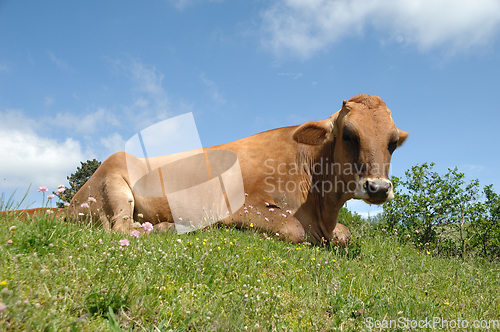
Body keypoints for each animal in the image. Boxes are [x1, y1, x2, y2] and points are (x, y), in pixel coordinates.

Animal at [67, 93, 406, 244]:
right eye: (348, 134)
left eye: (392, 143)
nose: (378, 187)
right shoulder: (243, 207)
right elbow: (293, 229)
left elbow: (345, 234)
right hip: (114, 181)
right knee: (120, 229)